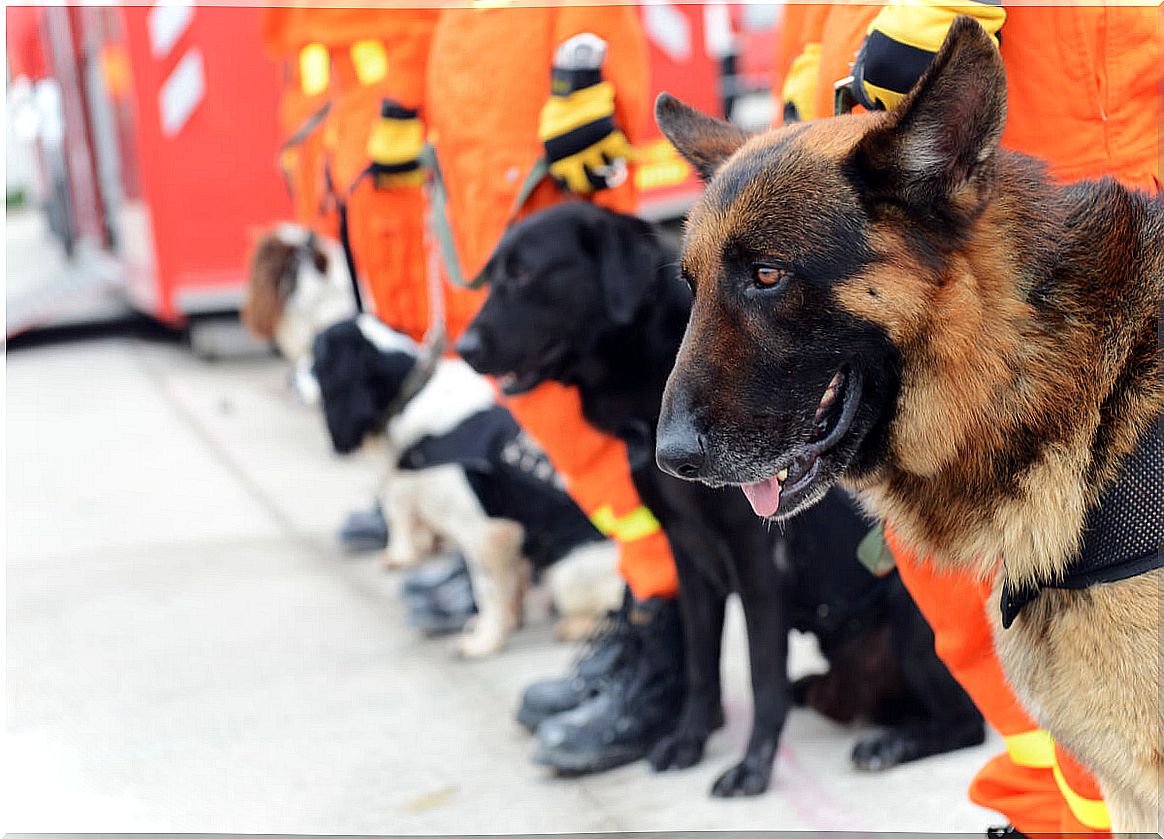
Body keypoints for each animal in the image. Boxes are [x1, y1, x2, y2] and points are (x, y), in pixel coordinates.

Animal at [309, 314, 619, 656]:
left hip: (569, 572)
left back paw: (578, 626)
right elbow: (508, 586)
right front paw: (508, 621)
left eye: (315, 358)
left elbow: (488, 591)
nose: (291, 380)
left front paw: (485, 641)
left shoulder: (485, 533)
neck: (411, 395)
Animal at [453, 201, 982, 791]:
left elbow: (761, 675)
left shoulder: (759, 561)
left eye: (525, 274)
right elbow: (702, 665)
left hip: (912, 619)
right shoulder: (688, 558)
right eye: (495, 274)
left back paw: (893, 742)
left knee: (969, 722)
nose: (463, 348)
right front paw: (688, 740)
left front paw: (752, 767)